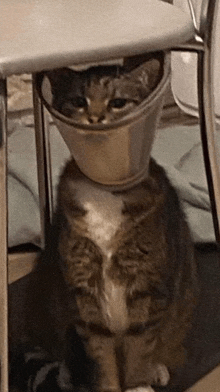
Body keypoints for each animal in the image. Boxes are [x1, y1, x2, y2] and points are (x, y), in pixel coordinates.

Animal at [9, 52, 197, 392]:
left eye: (118, 102)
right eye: (79, 101)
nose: (95, 119)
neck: (105, 191)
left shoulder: (147, 285)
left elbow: (140, 345)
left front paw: (138, 383)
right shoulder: (84, 289)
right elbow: (100, 356)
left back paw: (156, 368)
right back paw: (66, 373)